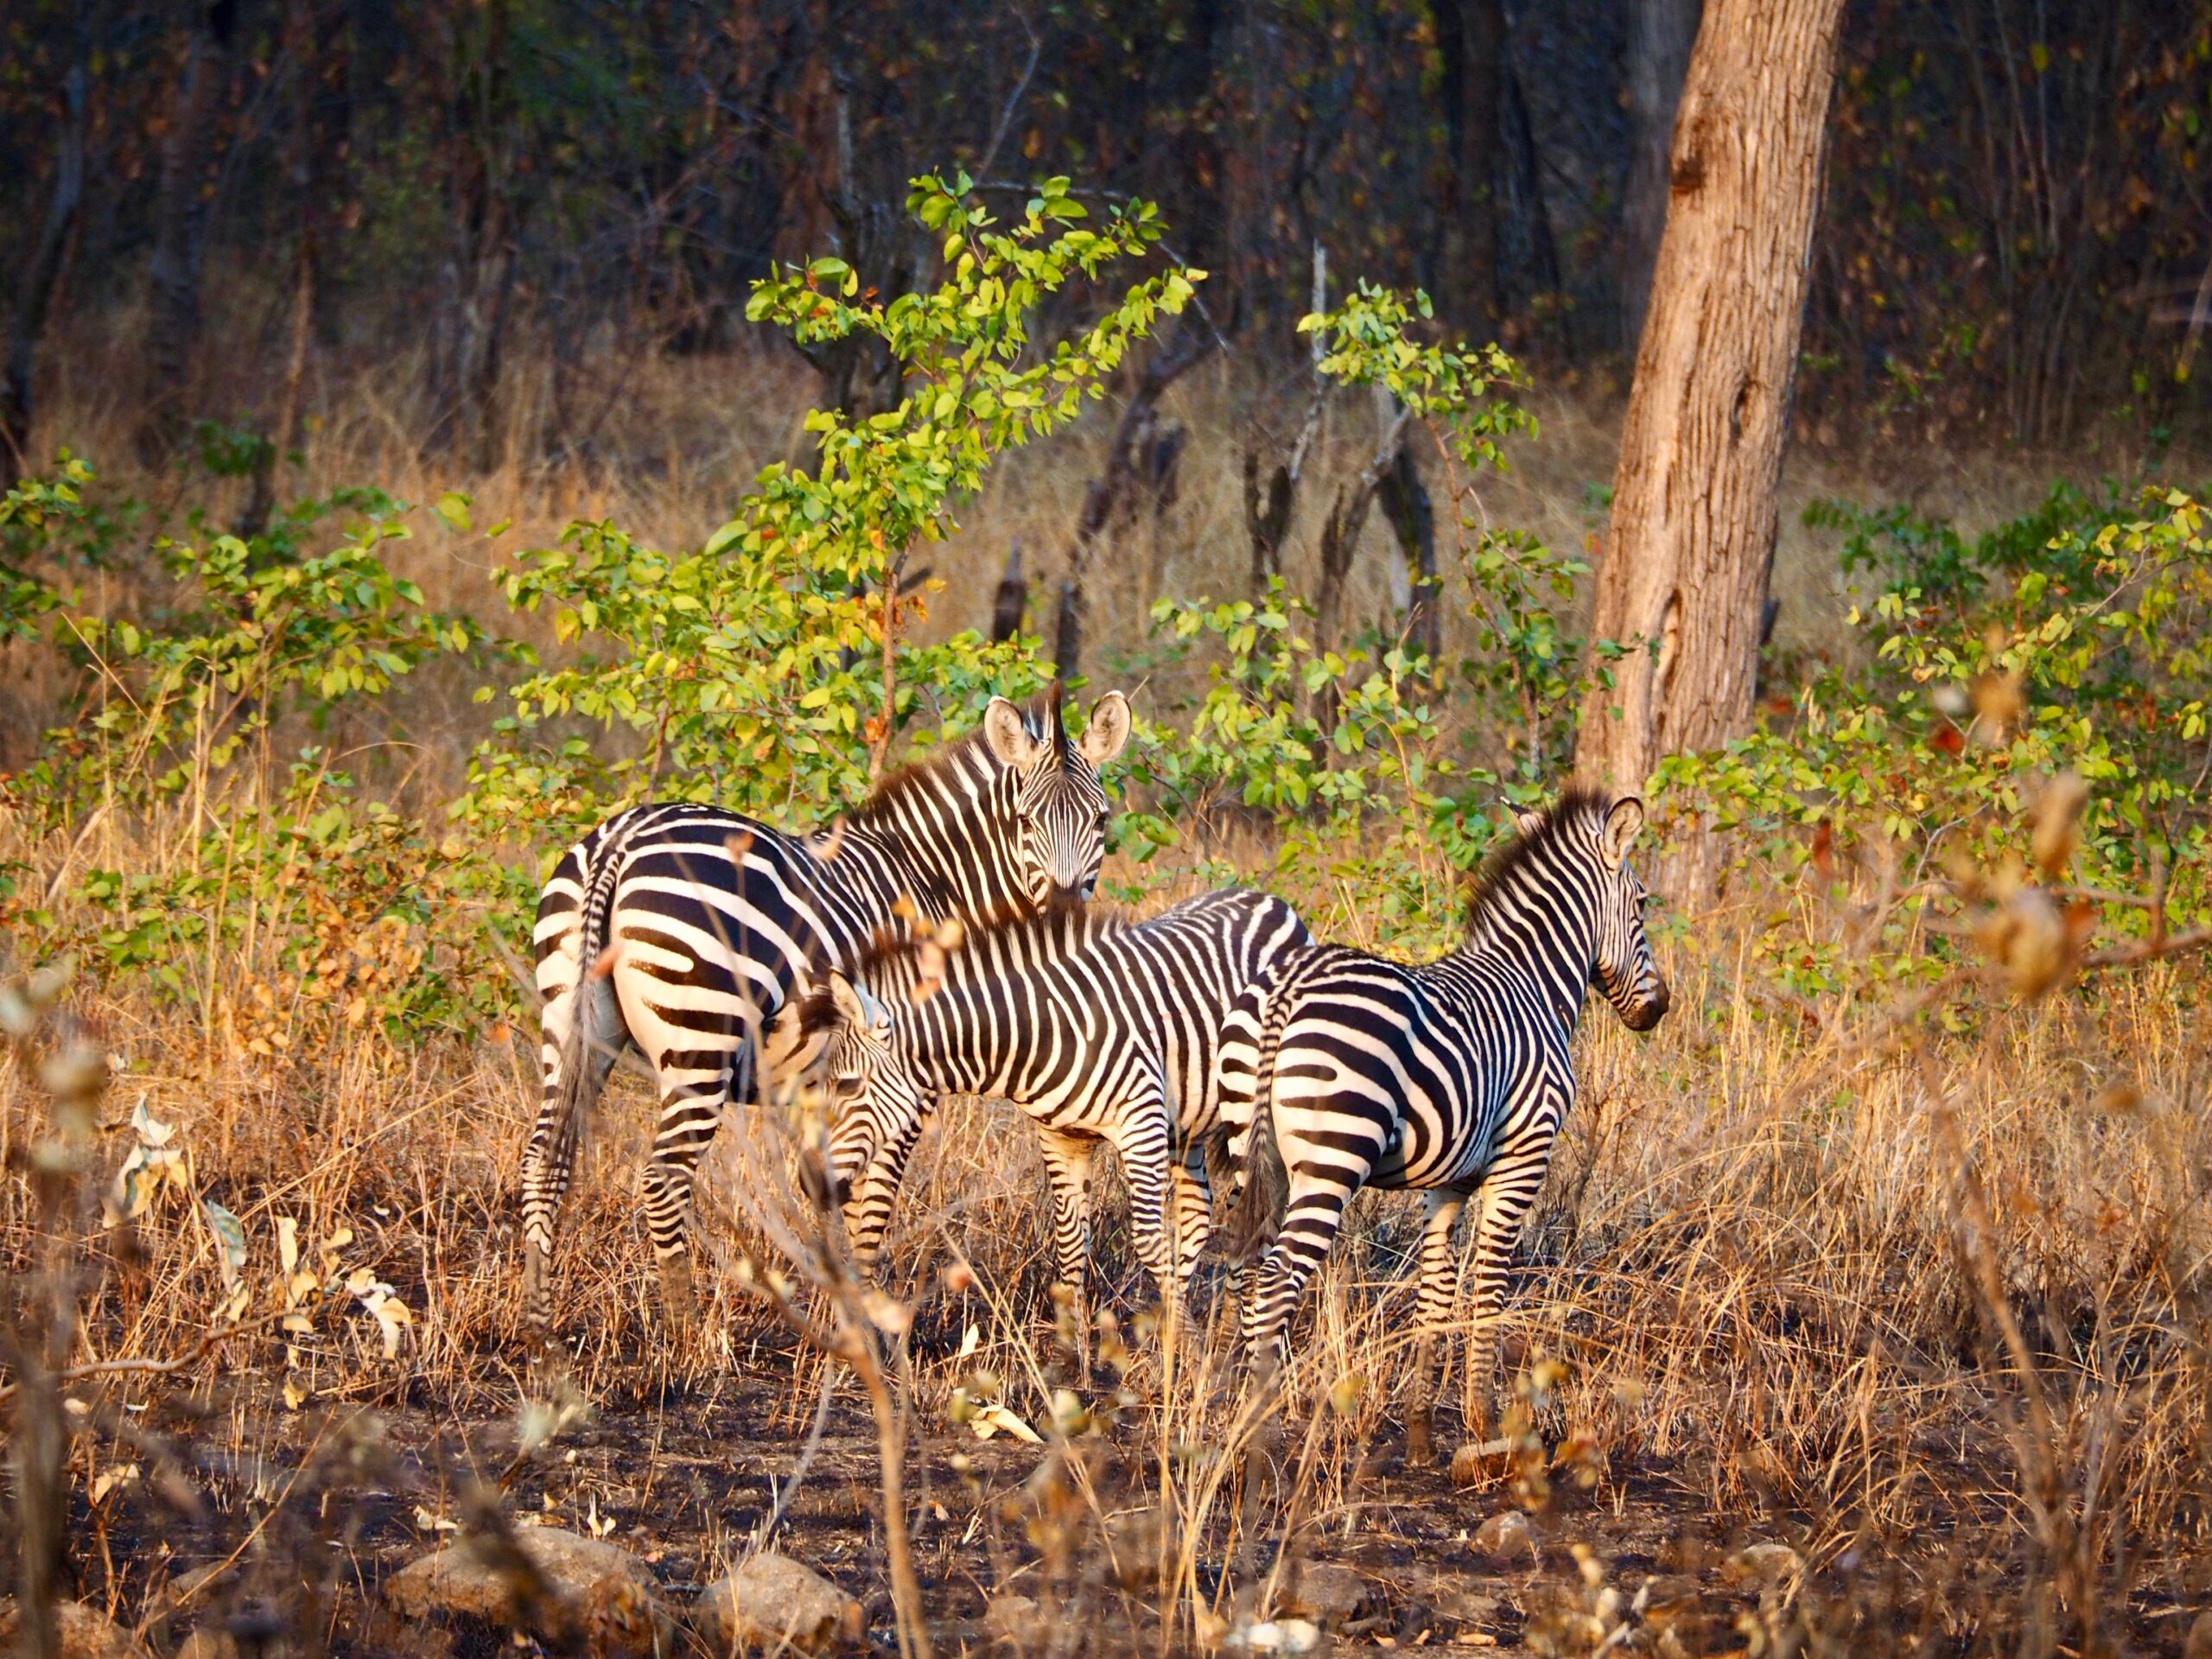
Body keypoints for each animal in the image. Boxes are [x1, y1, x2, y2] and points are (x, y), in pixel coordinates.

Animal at [520, 682, 1132, 1337]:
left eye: (1100, 820)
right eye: (1024, 821)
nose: (1064, 913)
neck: (934, 883)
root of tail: (620, 840)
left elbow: (840, 1191)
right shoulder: (908, 1072)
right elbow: (873, 1206)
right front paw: (870, 1329)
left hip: (571, 1021)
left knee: (542, 1164)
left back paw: (538, 1326)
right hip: (701, 1039)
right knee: (664, 1180)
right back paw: (687, 1341)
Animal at [783, 886, 1312, 1315]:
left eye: (847, 1086)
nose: (808, 1181)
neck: (1043, 1033)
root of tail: (1267, 898)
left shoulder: (1141, 1125)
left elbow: (1148, 1241)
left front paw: (1180, 1355)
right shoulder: (1061, 1138)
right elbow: (1071, 1245)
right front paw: (1074, 1359)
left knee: (1259, 1209)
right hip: (1189, 1124)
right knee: (1198, 1212)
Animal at [1223, 788, 1668, 1463]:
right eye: (1641, 903)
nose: (1659, 1008)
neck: (1536, 984)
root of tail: (1289, 987)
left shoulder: (1448, 1180)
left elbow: (1436, 1290)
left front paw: (1419, 1434)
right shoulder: (1522, 1159)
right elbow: (1488, 1285)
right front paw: (1487, 1429)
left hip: (1247, 1146)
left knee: (1247, 1271)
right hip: (1332, 1159)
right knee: (1275, 1279)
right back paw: (1265, 1431)